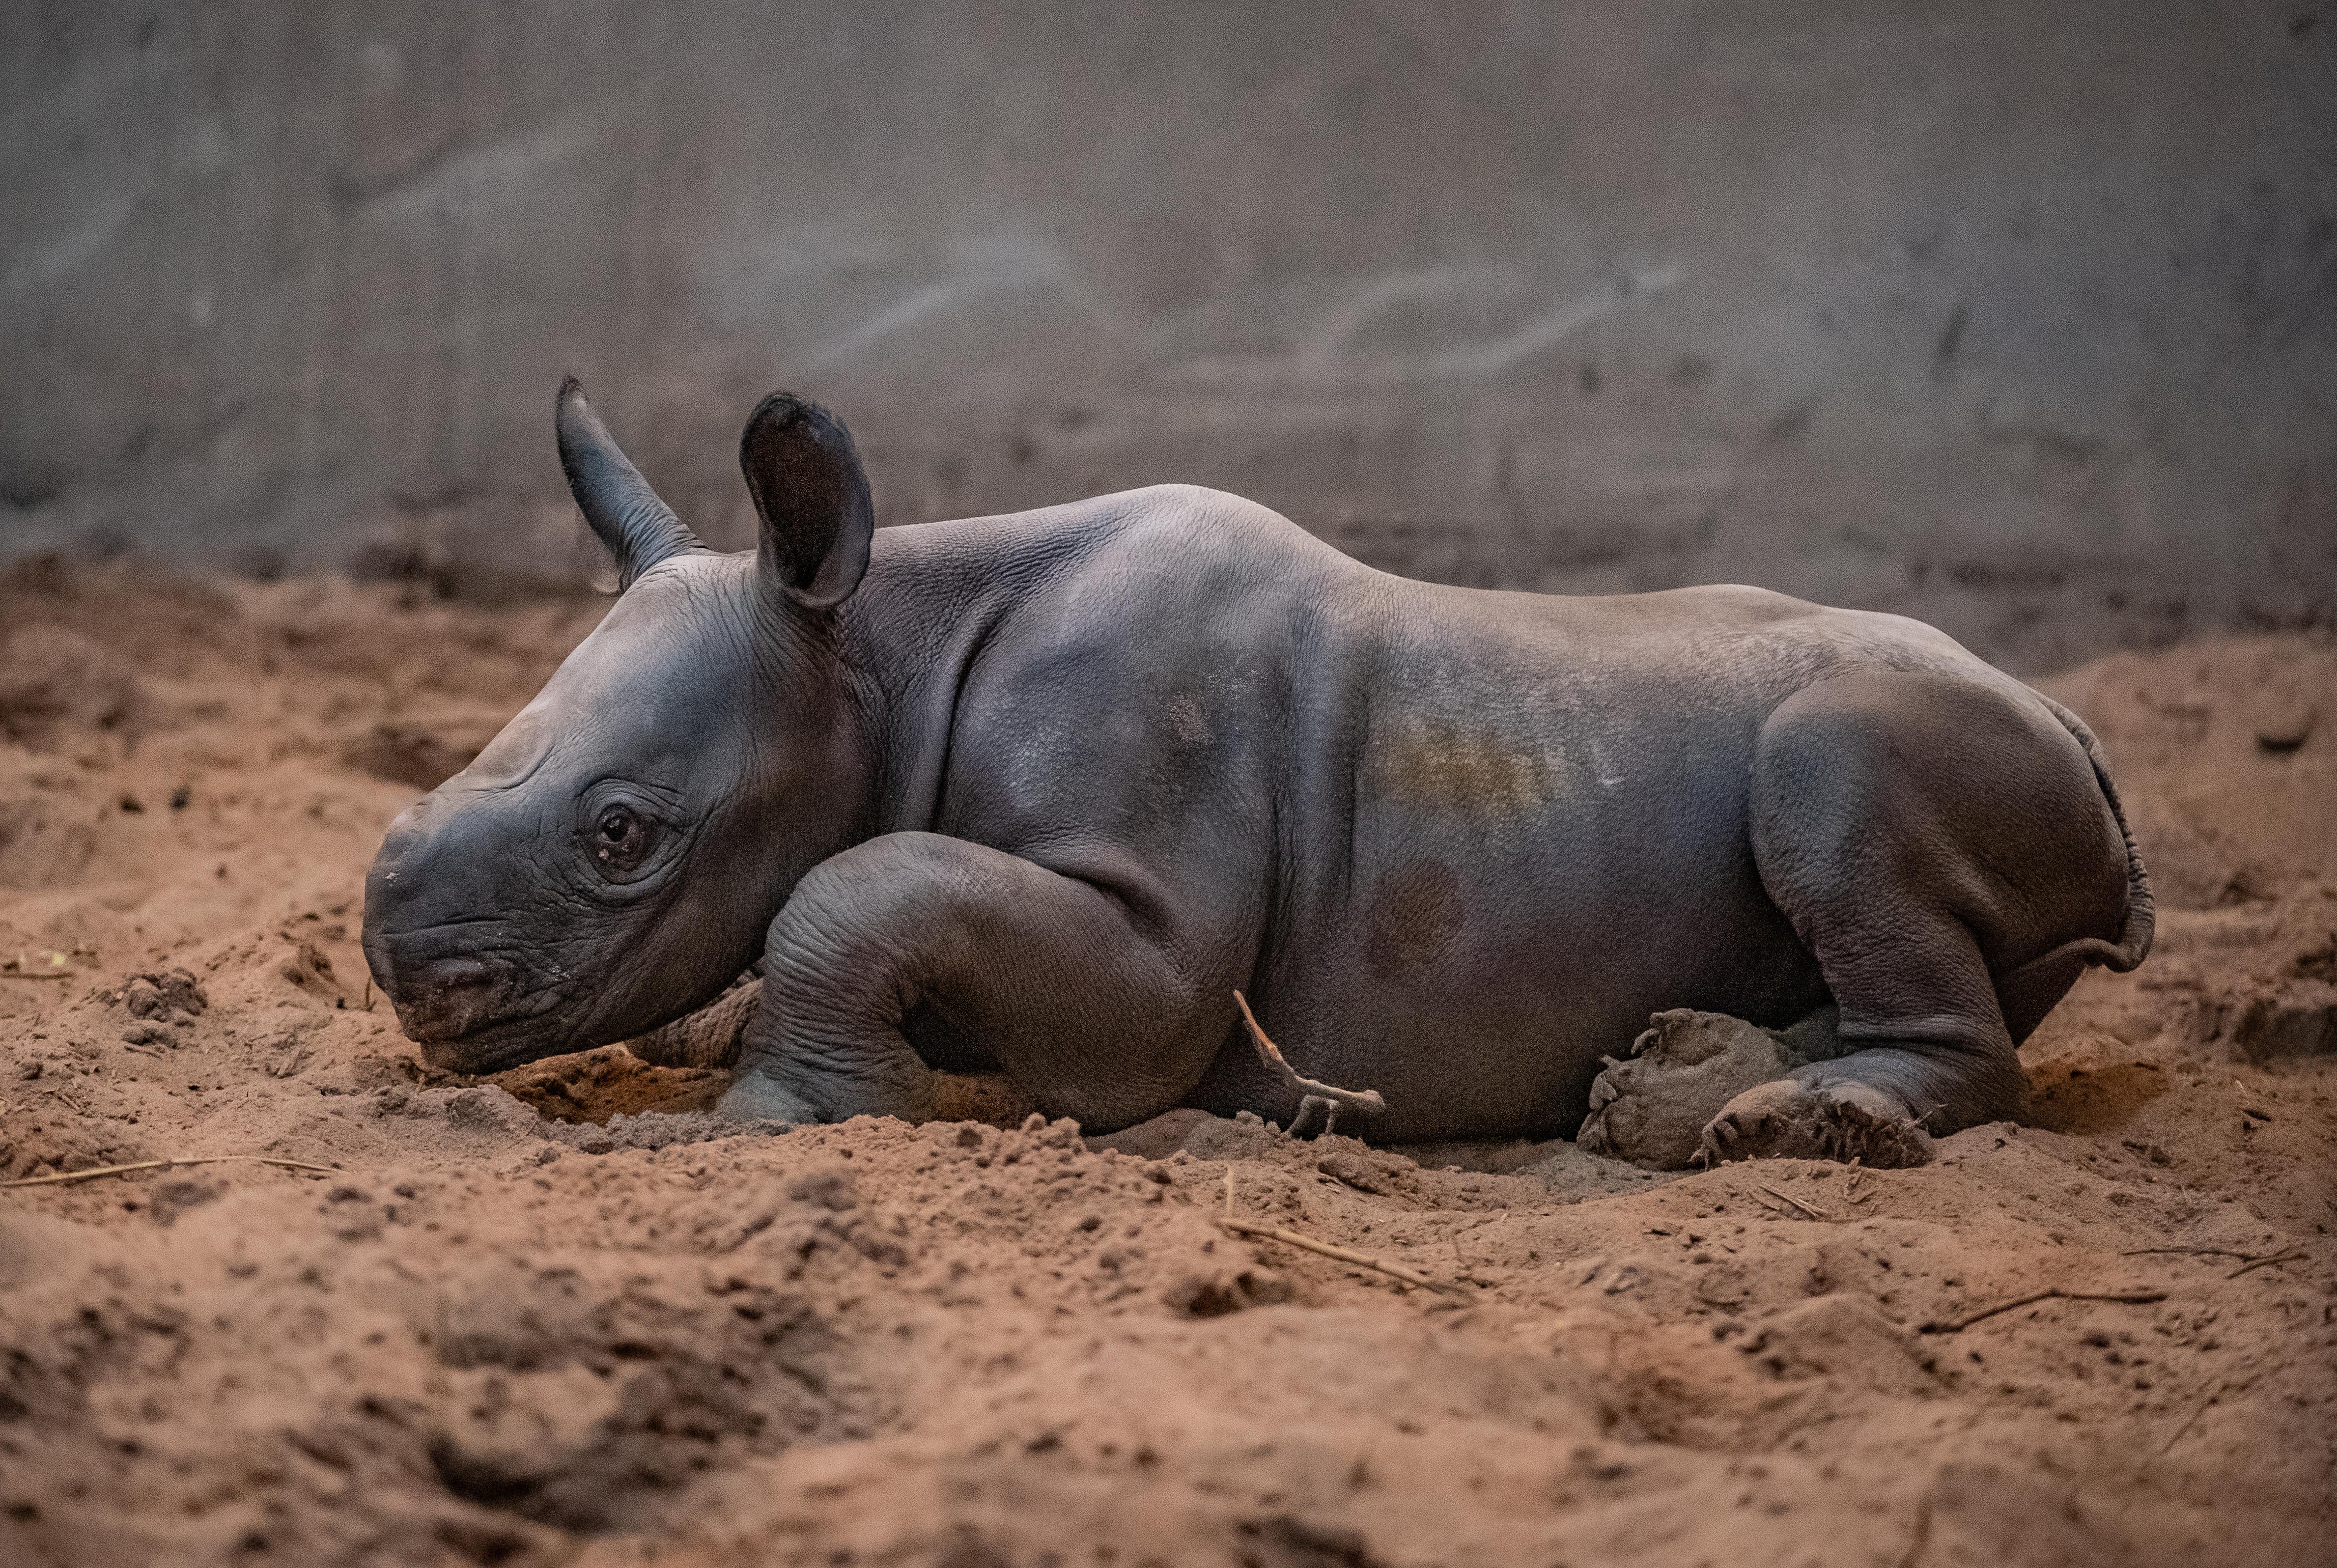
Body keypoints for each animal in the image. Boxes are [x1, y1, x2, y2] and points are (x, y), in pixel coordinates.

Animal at [360, 381, 2150, 1163]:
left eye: (619, 835)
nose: (402, 974)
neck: (874, 654)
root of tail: (2081, 730)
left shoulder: (1155, 947)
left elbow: (855, 887)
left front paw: (783, 1115)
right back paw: (1689, 1089)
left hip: (1911, 726)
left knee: (1823, 769)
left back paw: (1808, 1121)